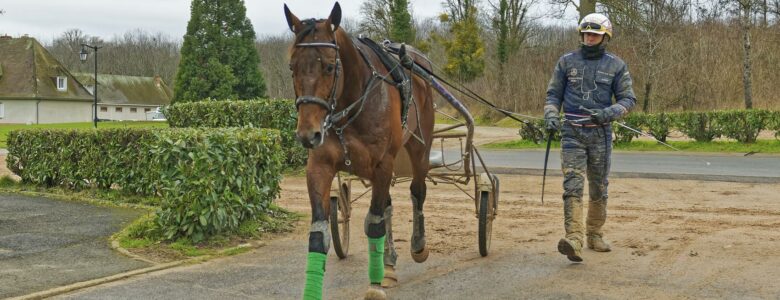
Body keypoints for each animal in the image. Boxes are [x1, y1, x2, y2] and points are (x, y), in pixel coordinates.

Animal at [284, 1, 436, 298]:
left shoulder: (383, 164)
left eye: (329, 67)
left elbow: (374, 223)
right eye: (292, 67)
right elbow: (319, 234)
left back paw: (417, 245)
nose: (308, 134)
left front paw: (374, 285)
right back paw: (389, 265)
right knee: (387, 205)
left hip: (419, 147)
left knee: (417, 190)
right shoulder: (319, 166)